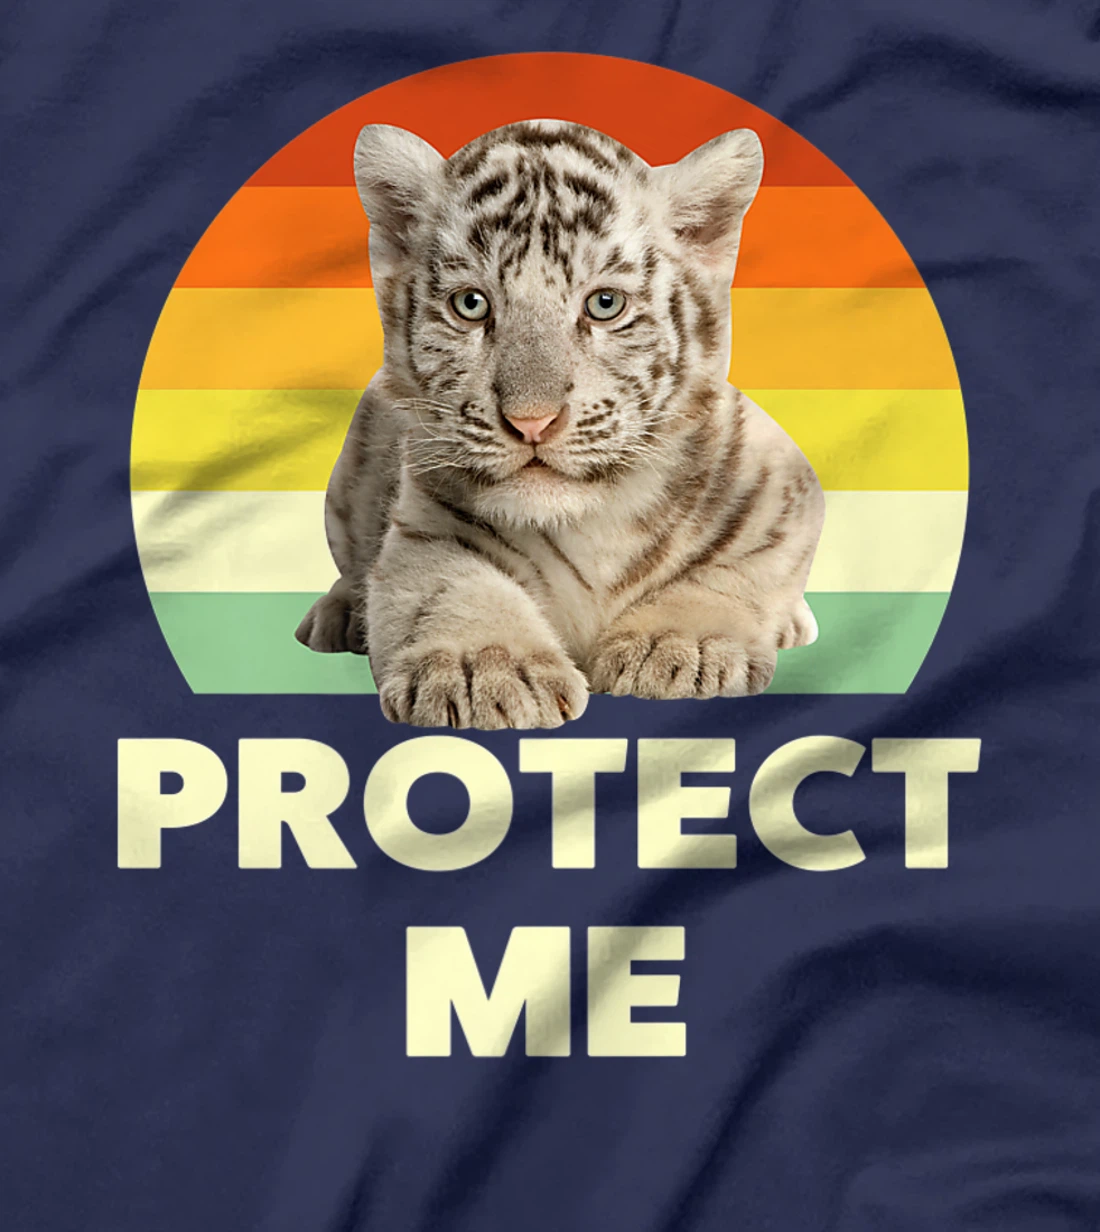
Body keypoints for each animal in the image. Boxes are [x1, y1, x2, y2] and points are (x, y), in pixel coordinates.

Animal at [295, 118, 824, 730]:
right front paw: (483, 670)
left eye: (604, 304)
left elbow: (739, 569)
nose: (532, 422)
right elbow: (452, 589)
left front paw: (678, 647)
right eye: (471, 305)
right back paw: (334, 617)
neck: (591, 518)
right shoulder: (425, 528)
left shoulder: (786, 488)